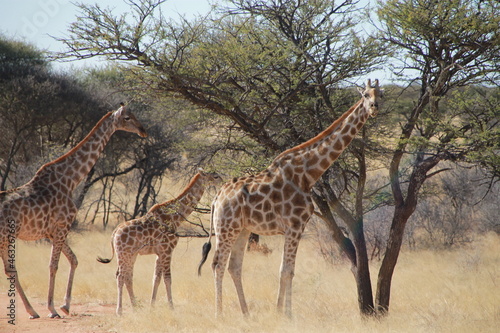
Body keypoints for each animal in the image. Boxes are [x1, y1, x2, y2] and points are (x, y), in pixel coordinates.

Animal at [0, 105, 147, 318]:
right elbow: (54, 265)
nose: (143, 130)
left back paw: (32, 310)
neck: (70, 179)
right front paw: (53, 309)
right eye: (127, 117)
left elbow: (74, 260)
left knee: (10, 270)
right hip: (6, 237)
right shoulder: (62, 226)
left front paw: (65, 305)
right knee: (11, 269)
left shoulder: (53, 232)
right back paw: (34, 310)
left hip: (5, 239)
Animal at [199, 78, 382, 316]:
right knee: (217, 264)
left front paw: (282, 312)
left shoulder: (294, 228)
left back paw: (246, 314)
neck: (308, 174)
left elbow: (287, 270)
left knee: (234, 266)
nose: (374, 108)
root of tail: (217, 198)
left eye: (380, 94)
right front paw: (285, 314)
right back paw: (219, 314)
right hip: (226, 228)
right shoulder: (295, 226)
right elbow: (286, 270)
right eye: (365, 95)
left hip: (241, 229)